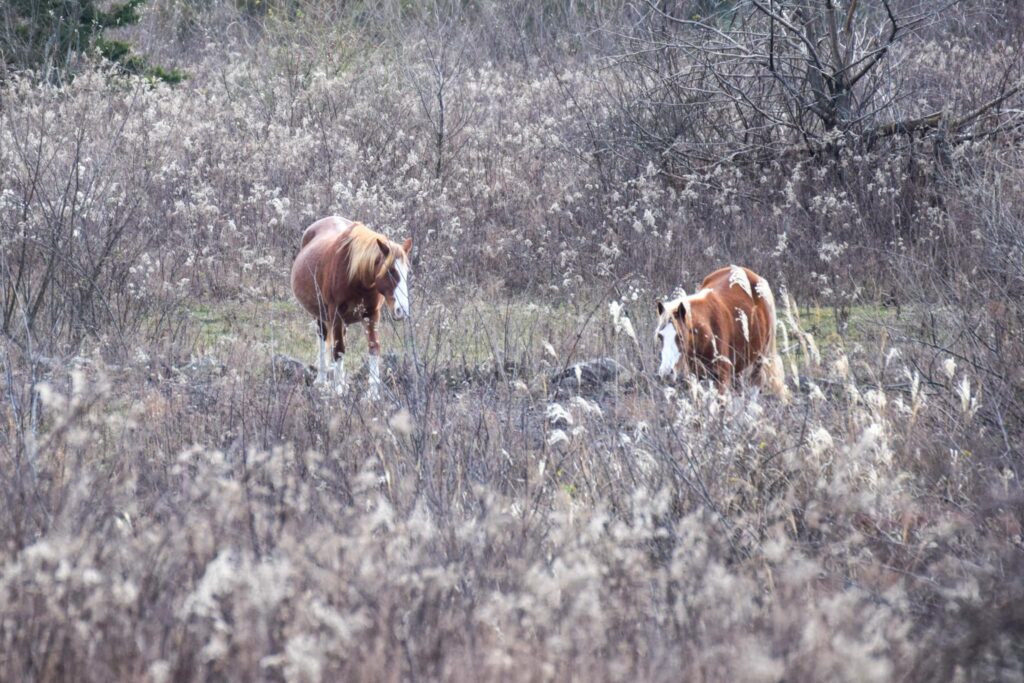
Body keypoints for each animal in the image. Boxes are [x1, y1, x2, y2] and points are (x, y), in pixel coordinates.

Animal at [290, 216, 413, 394]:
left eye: (406, 273)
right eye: (390, 271)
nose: (401, 310)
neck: (357, 276)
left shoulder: (372, 314)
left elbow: (373, 347)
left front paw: (372, 393)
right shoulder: (335, 314)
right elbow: (338, 349)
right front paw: (338, 390)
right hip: (320, 315)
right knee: (323, 340)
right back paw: (322, 380)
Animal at [655, 265, 787, 398]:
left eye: (680, 336)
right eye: (660, 337)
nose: (666, 373)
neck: (707, 332)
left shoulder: (721, 378)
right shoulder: (696, 376)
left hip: (760, 358)